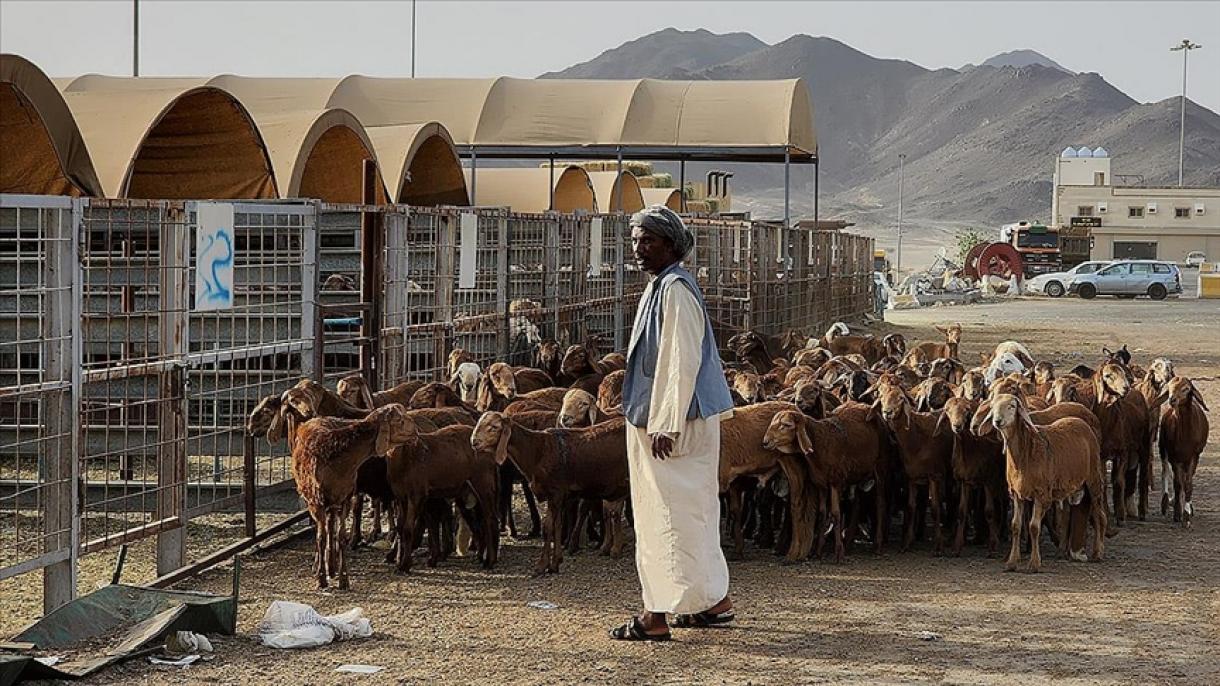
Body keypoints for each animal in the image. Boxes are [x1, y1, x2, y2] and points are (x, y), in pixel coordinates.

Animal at [990, 393, 1107, 568]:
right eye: (993, 406)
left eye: (1012, 406)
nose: (997, 421)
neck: (1025, 453)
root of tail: (1083, 423)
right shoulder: (1016, 493)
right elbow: (1016, 526)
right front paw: (1012, 562)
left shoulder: (1041, 493)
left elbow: (1033, 527)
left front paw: (1034, 563)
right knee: (1067, 515)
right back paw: (1063, 551)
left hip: (1093, 478)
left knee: (1099, 515)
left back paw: (1098, 553)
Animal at [1156, 373, 1205, 522]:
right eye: (1169, 387)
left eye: (1186, 388)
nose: (1172, 399)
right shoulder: (1174, 456)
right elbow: (1177, 483)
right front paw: (1178, 512)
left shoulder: (1194, 456)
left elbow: (1188, 483)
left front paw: (1187, 514)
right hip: (1163, 448)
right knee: (1165, 471)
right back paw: (1166, 502)